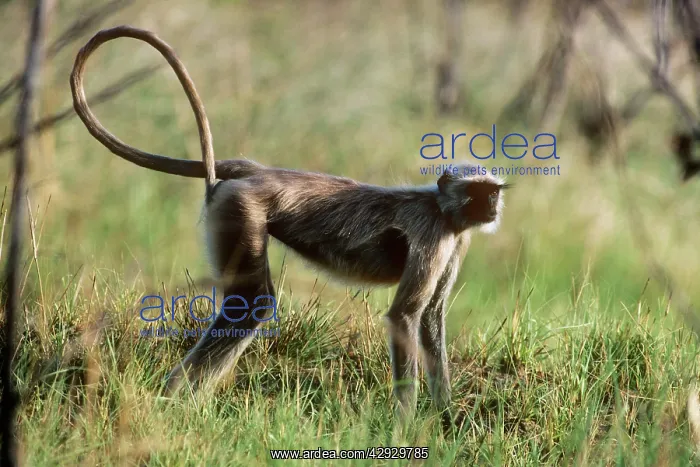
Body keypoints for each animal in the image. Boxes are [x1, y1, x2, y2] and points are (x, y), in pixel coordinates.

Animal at [70, 26, 509, 432]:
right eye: (478, 192)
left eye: (492, 192)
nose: (492, 206)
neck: (442, 209)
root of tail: (257, 171)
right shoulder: (433, 233)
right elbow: (404, 315)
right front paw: (404, 424)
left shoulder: (456, 239)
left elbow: (432, 316)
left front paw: (444, 412)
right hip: (241, 209)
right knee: (253, 304)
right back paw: (175, 400)